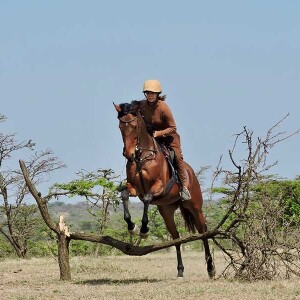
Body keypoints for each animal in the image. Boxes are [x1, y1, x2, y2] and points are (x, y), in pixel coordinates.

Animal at [113, 101, 214, 278]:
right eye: (120, 127)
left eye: (134, 126)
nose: (128, 154)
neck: (142, 157)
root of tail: (191, 172)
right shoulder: (134, 189)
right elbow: (124, 194)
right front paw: (131, 226)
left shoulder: (159, 186)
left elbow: (147, 198)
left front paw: (144, 230)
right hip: (167, 211)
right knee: (176, 237)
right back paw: (180, 270)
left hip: (195, 207)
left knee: (203, 232)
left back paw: (210, 268)